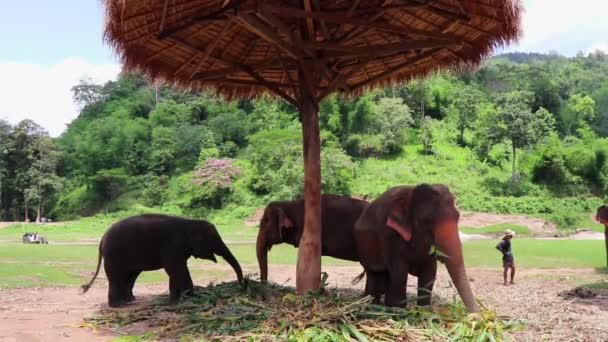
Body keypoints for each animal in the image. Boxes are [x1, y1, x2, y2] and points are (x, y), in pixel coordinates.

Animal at [80, 214, 242, 308]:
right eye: (213, 240)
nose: (241, 284)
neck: (189, 222)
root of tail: (102, 239)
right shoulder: (173, 246)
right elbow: (175, 269)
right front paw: (190, 298)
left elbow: (176, 270)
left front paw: (176, 300)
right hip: (113, 255)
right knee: (117, 277)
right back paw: (118, 306)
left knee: (130, 276)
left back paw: (130, 300)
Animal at [352, 184, 480, 312]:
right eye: (427, 220)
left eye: (457, 216)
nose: (477, 313)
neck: (411, 193)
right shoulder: (389, 235)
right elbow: (400, 272)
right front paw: (399, 311)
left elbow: (430, 272)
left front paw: (424, 310)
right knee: (374, 274)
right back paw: (371, 308)